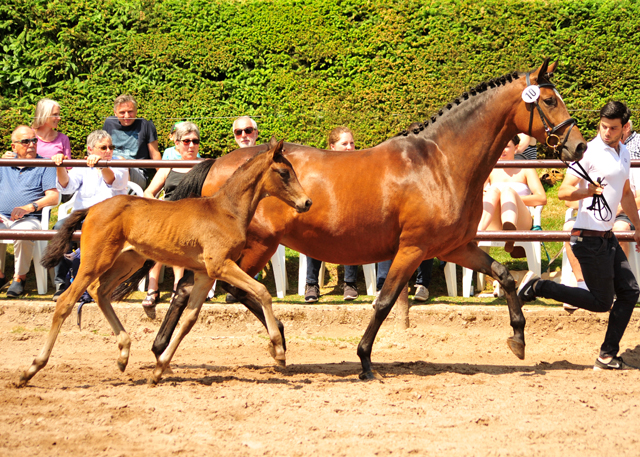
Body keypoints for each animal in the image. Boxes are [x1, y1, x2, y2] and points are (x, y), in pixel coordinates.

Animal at [154, 58, 584, 380]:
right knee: (221, 288)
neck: (441, 163)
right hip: (254, 245)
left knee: (205, 289)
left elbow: (506, 275)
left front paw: (518, 341)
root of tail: (216, 163)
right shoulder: (412, 249)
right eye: (549, 100)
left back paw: (172, 350)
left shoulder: (455, 247)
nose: (578, 146)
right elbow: (384, 301)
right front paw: (364, 361)